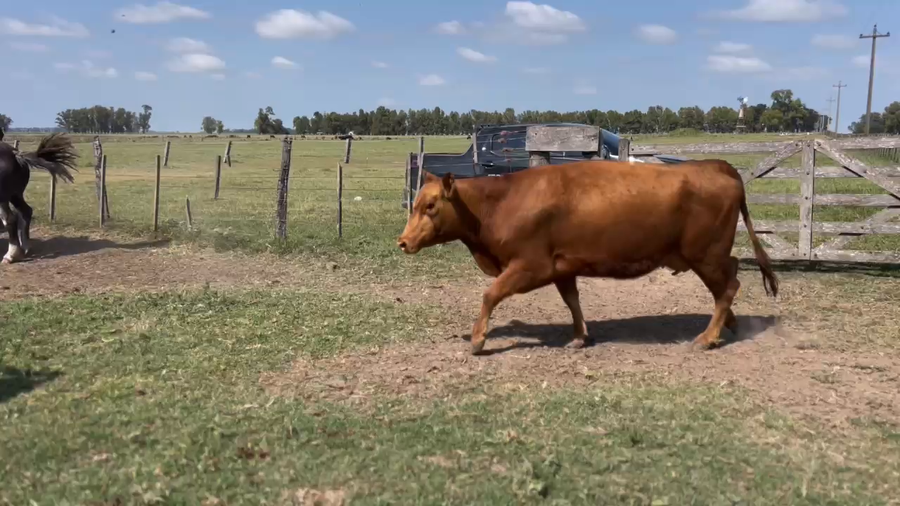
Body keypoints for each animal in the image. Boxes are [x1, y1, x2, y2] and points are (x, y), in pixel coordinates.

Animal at [397, 158, 778, 355]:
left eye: (430, 206)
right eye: (415, 204)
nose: (402, 242)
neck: (501, 201)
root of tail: (716, 166)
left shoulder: (530, 265)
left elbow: (490, 294)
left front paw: (478, 340)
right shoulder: (562, 265)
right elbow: (572, 300)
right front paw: (581, 335)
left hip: (705, 255)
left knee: (728, 286)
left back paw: (708, 337)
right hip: (709, 257)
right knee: (726, 284)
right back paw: (728, 324)